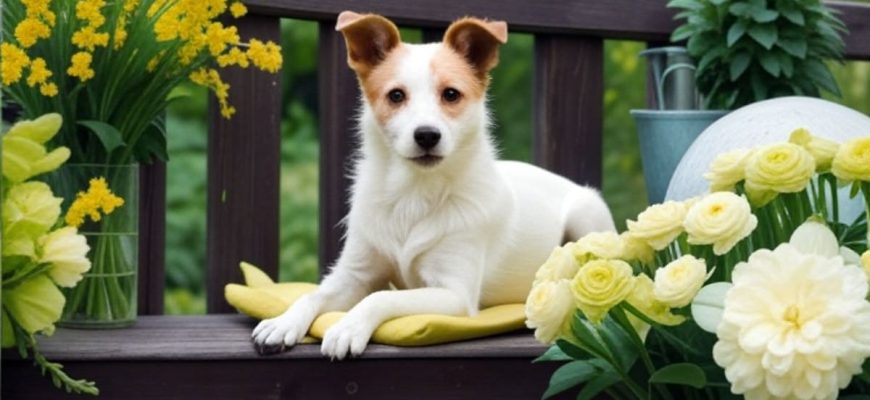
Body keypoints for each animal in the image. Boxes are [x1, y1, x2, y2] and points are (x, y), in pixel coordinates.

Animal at [252, 11, 615, 359]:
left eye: (451, 94)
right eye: (396, 95)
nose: (427, 135)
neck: (413, 193)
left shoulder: (454, 292)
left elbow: (381, 297)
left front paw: (348, 326)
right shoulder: (354, 274)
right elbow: (312, 294)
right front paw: (283, 322)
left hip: (586, 216)